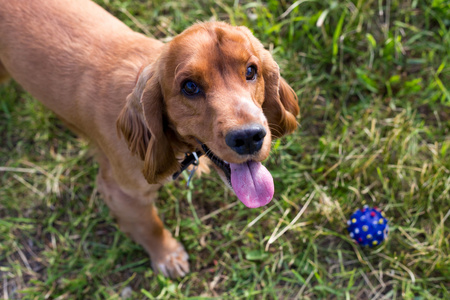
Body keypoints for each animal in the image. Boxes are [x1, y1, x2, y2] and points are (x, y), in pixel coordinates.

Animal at [0, 0, 302, 278]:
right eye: (189, 87)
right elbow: (150, 226)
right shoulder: (122, 192)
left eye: (251, 71)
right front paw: (168, 257)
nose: (249, 137)